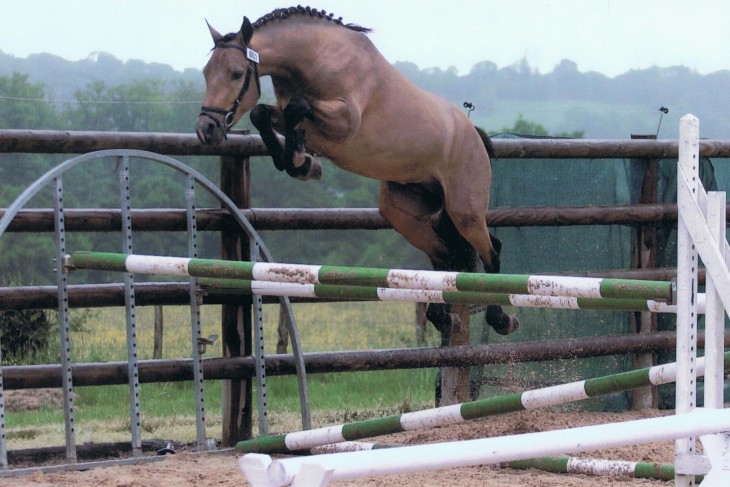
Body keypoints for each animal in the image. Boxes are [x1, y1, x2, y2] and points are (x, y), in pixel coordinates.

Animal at [195, 5, 516, 346]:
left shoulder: (345, 120)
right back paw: (442, 318)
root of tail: (473, 134)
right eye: (205, 73)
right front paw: (300, 163)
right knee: (444, 255)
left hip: (464, 209)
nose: (206, 129)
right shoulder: (296, 117)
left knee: (491, 250)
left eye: (236, 73)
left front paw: (300, 161)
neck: (318, 57)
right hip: (402, 212)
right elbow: (264, 113)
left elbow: (297, 106)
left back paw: (500, 319)